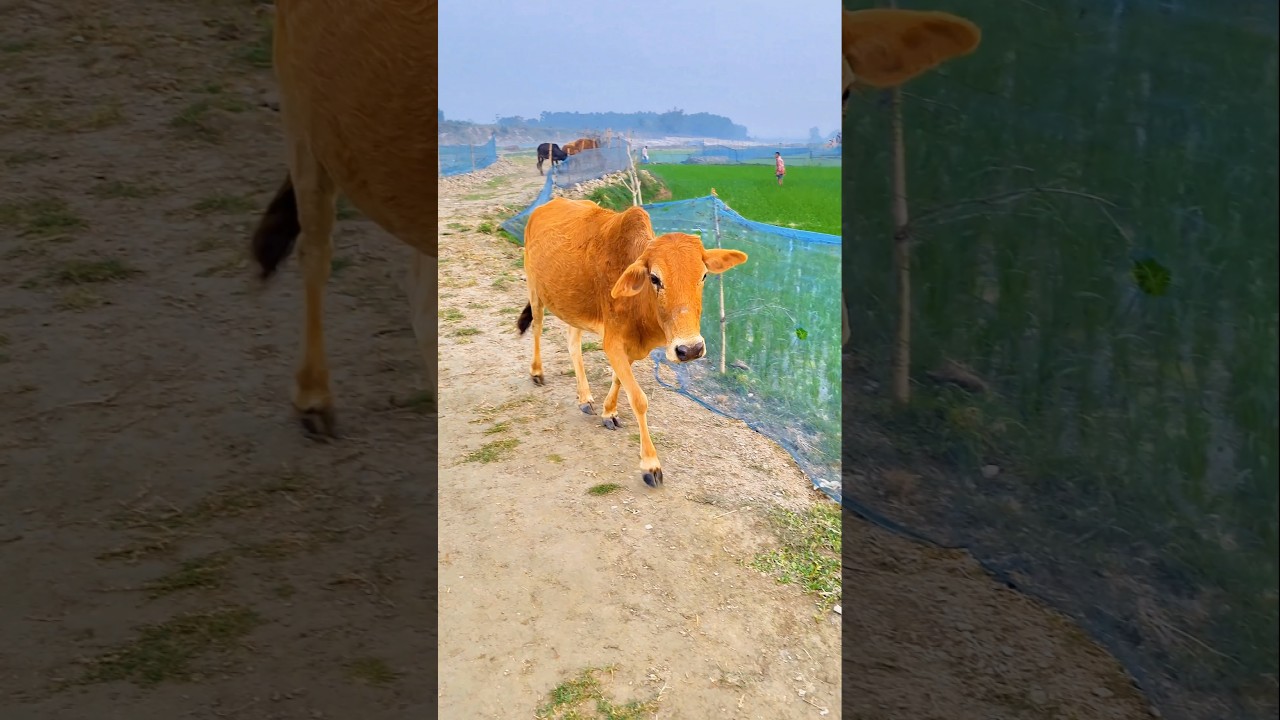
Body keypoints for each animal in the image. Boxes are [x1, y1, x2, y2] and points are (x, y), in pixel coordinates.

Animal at [517, 197, 748, 488]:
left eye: (704, 275)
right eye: (655, 278)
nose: (691, 349)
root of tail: (546, 205)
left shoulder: (631, 348)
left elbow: (618, 379)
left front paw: (609, 412)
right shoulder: (613, 342)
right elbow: (638, 399)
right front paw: (650, 465)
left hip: (573, 308)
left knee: (572, 343)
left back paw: (585, 397)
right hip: (535, 290)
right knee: (537, 327)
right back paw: (537, 372)